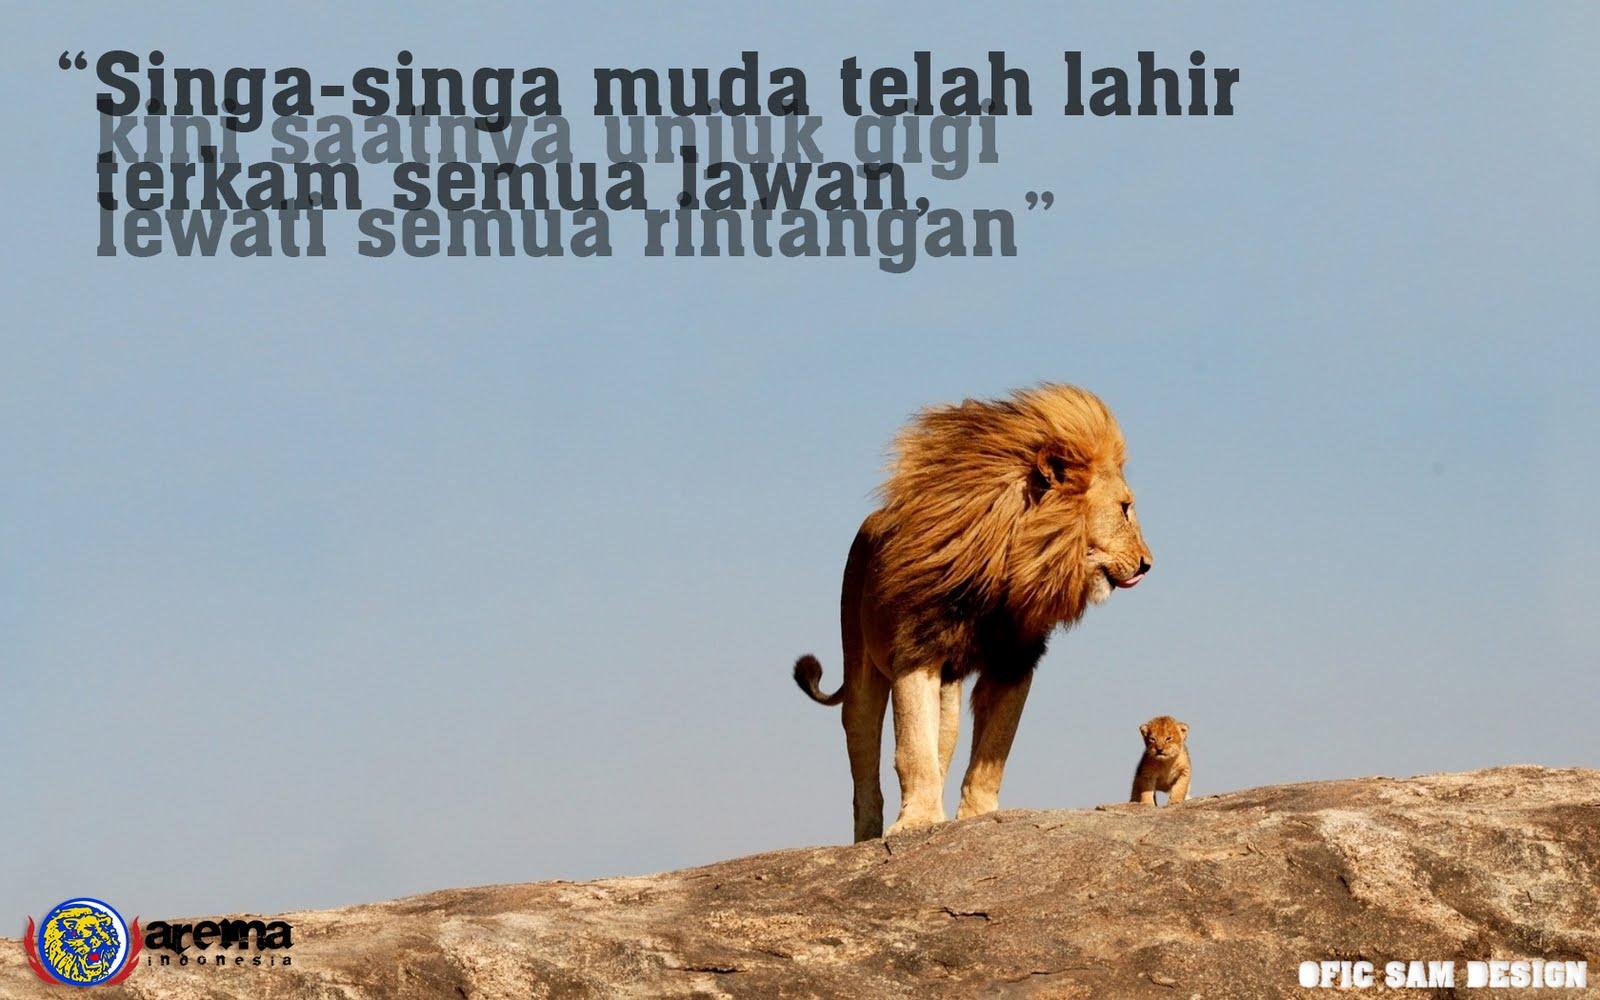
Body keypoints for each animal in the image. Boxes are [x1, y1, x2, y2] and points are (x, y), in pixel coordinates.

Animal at [794, 384, 1152, 841]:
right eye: (1125, 508)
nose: (1148, 564)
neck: (1007, 566)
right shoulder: (916, 651)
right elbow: (912, 748)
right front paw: (917, 822)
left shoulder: (1014, 662)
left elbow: (992, 752)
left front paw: (976, 817)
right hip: (860, 668)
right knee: (864, 761)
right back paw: (869, 835)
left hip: (948, 696)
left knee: (942, 745)